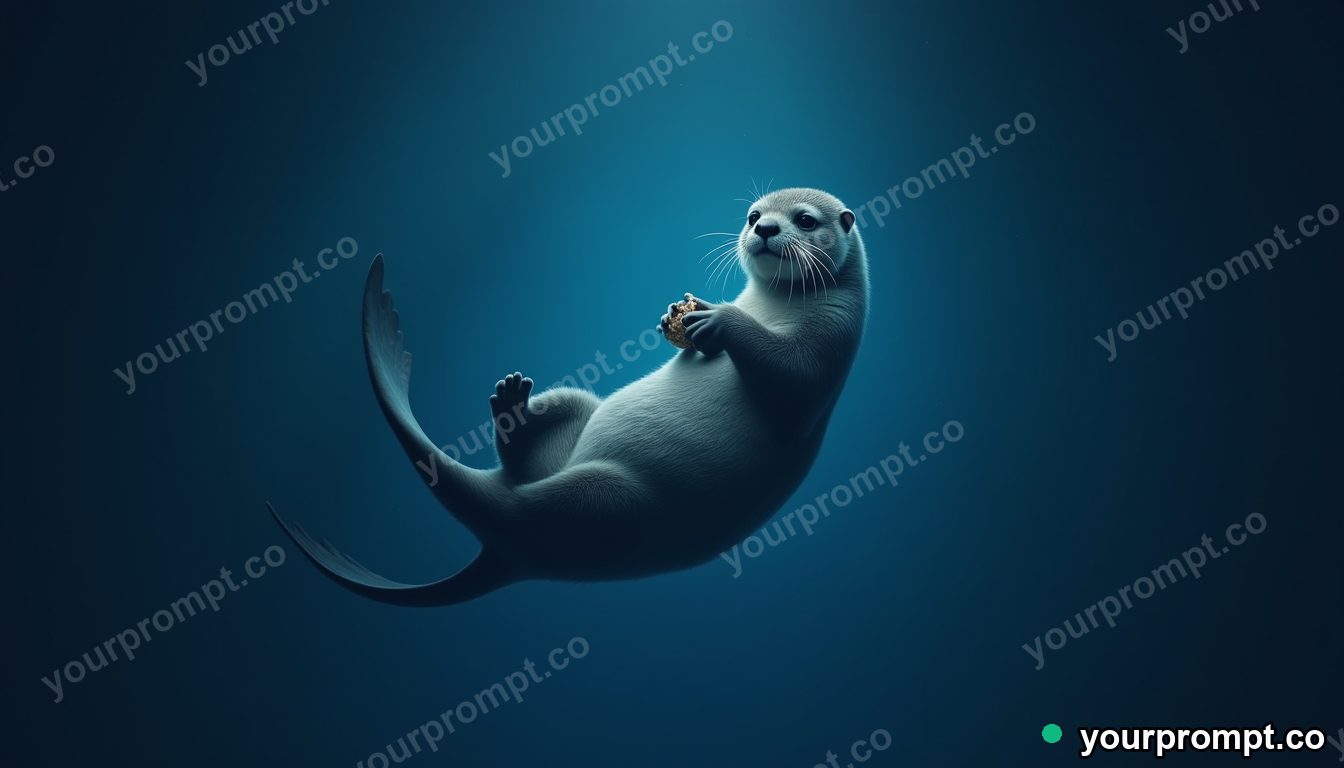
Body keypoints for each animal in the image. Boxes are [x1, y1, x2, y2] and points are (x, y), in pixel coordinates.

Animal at [269, 187, 868, 605]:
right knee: (529, 451)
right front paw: (676, 321)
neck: (773, 306)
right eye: (752, 214)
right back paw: (512, 405)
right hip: (576, 406)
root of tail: (508, 545)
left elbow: (788, 369)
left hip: (601, 498)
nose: (764, 228)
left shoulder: (831, 343)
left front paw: (718, 319)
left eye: (804, 220)